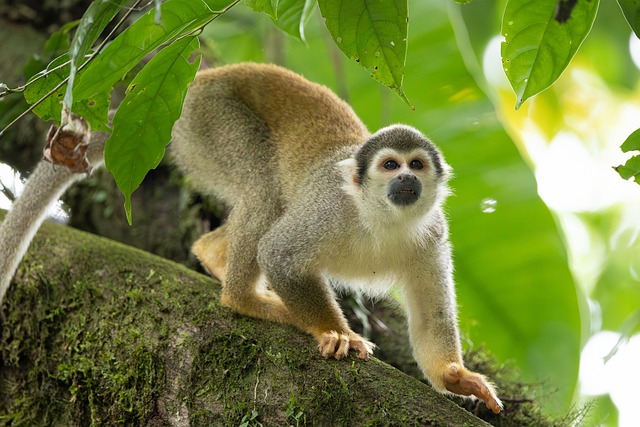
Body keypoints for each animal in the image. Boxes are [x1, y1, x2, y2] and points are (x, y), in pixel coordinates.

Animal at [170, 62, 503, 413]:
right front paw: (336, 332)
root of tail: (209, 76)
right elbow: (278, 254)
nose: (406, 178)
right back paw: (244, 298)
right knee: (264, 188)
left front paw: (455, 377)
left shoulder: (433, 234)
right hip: (205, 118)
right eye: (390, 165)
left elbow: (430, 318)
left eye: (416, 164)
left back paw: (214, 255)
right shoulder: (329, 208)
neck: (382, 217)